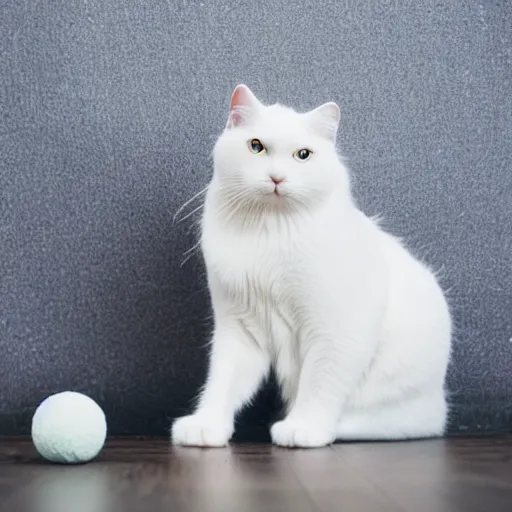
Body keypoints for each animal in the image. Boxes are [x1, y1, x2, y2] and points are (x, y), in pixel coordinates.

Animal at [172, 85, 452, 448]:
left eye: (303, 155)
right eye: (256, 147)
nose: (277, 177)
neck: (268, 235)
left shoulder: (336, 331)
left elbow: (320, 384)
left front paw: (303, 429)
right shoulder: (240, 329)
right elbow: (222, 383)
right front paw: (206, 426)